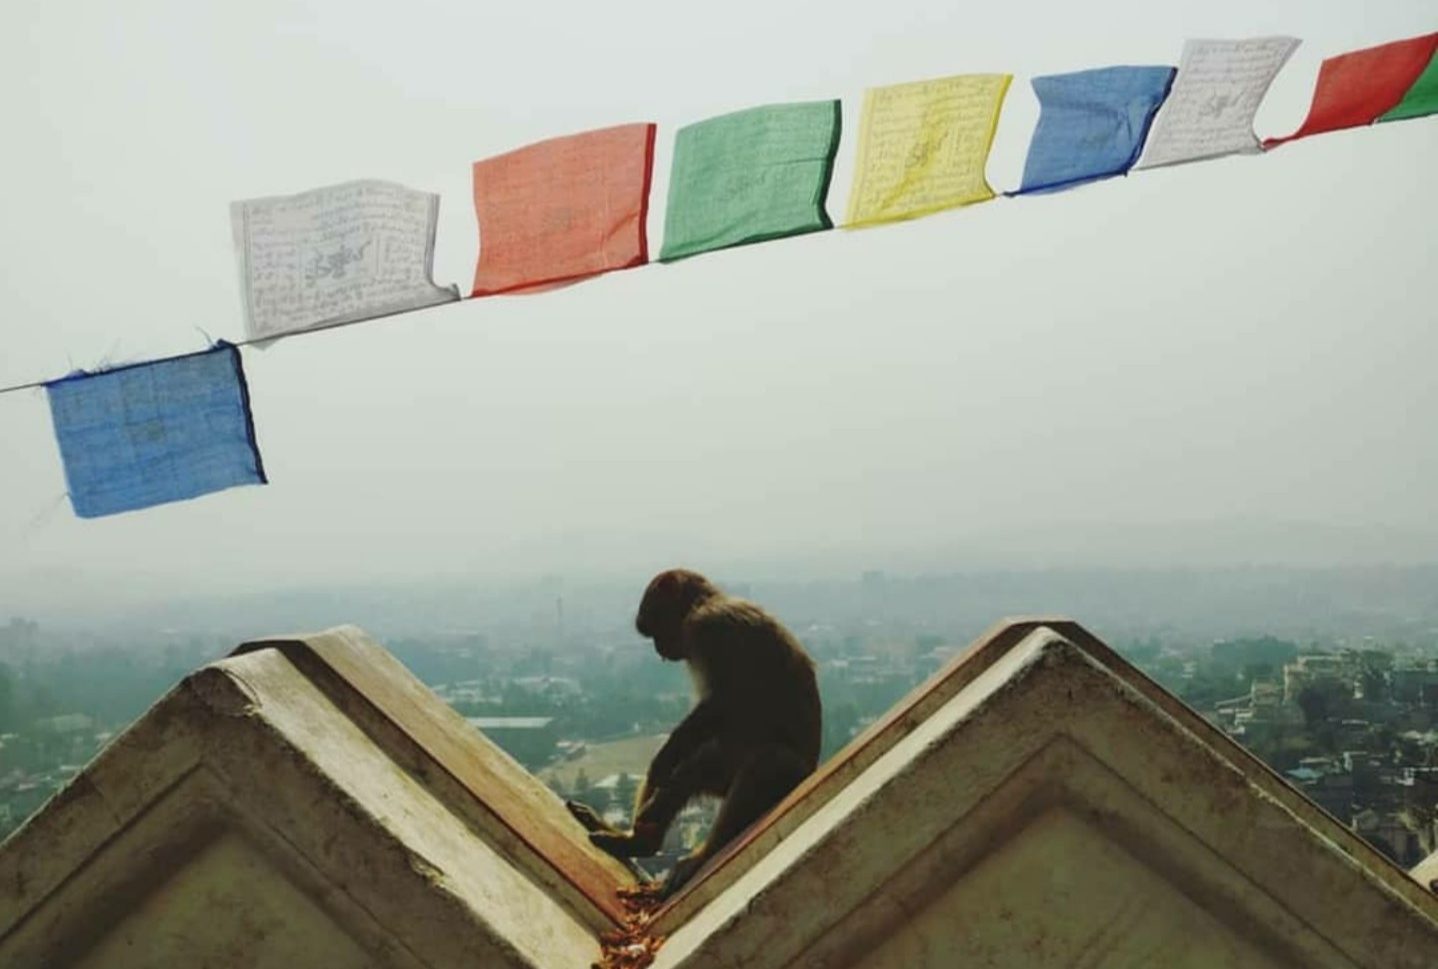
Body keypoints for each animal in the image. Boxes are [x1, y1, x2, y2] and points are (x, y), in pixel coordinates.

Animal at [566, 569, 828, 897]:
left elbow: (725, 700)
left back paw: (696, 853)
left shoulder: (710, 627)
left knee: (764, 760)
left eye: (654, 628)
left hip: (785, 774)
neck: (706, 603)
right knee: (704, 764)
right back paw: (640, 841)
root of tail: (811, 769)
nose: (658, 649)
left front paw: (664, 759)